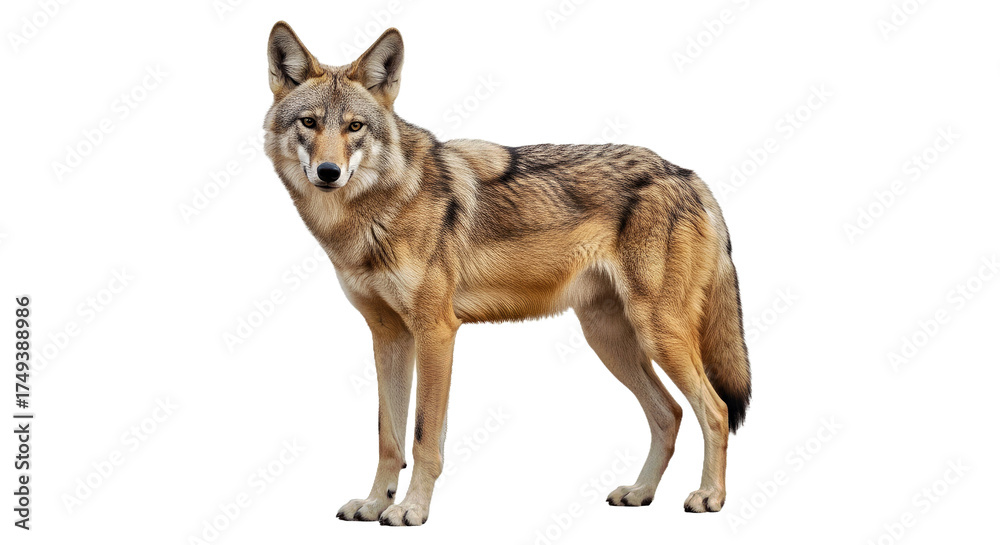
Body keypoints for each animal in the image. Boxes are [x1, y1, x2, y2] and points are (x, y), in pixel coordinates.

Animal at [263, 22, 751, 526]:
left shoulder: (436, 332)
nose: (328, 171)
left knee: (714, 410)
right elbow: (388, 438)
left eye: (354, 127)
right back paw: (640, 492)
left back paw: (709, 496)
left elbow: (423, 437)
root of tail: (688, 176)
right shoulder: (389, 336)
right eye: (309, 123)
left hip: (657, 334)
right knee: (669, 413)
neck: (374, 211)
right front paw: (376, 503)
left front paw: (412, 510)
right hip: (611, 340)